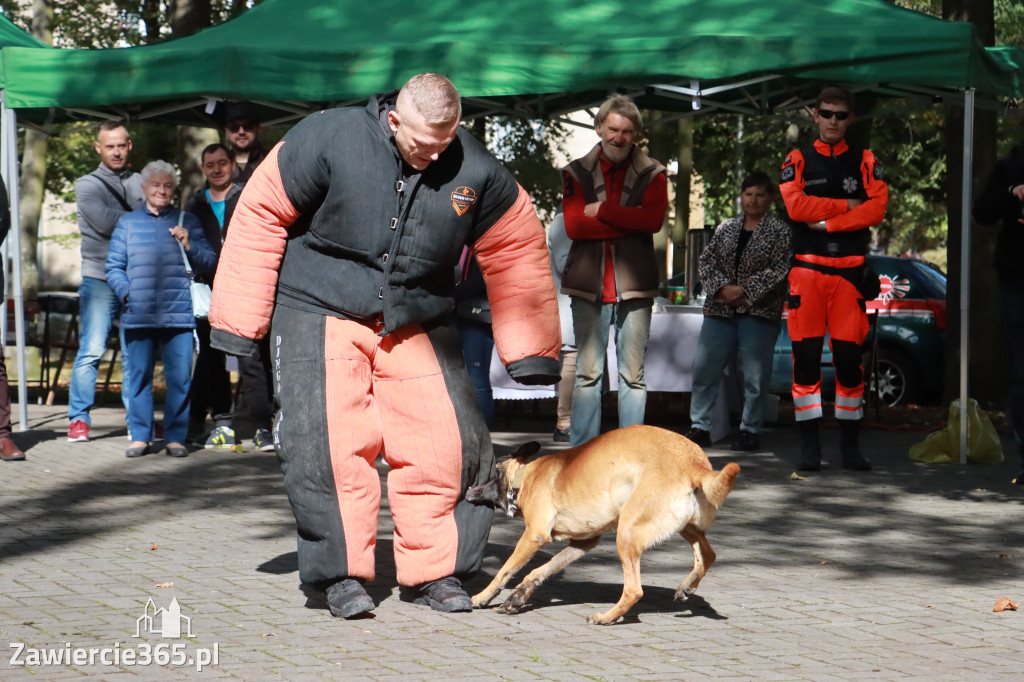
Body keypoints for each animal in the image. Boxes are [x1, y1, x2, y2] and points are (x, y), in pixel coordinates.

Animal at [468, 425, 741, 622]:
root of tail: (694, 463)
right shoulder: (583, 543)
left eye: (493, 472)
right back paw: (687, 587)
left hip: (627, 534)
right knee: (708, 555)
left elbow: (505, 571)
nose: (470, 490)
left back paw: (606, 618)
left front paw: (480, 597)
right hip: (687, 527)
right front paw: (519, 595)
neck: (526, 476)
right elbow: (542, 570)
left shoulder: (533, 536)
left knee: (634, 590)